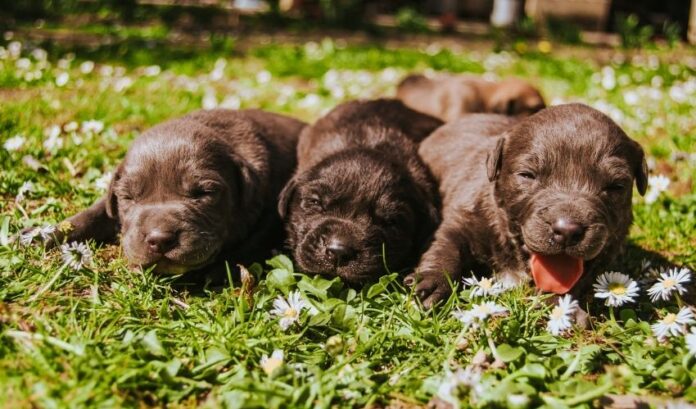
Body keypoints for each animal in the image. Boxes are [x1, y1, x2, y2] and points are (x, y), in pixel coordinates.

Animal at [43, 108, 304, 274]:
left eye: (204, 193)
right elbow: (95, 212)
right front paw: (43, 235)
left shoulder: (271, 210)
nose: (159, 239)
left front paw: (219, 271)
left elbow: (253, 242)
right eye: (128, 197)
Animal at [406, 103, 648, 308]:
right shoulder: (464, 216)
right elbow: (447, 245)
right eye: (527, 175)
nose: (567, 230)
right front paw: (432, 283)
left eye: (616, 186)